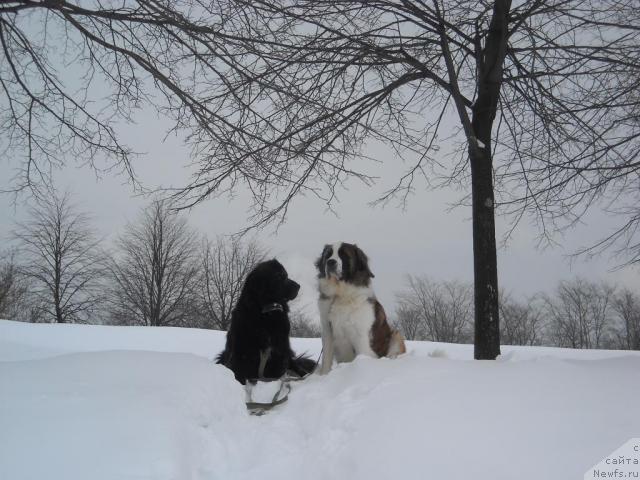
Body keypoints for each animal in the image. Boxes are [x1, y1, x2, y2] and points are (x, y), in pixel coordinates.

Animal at [316, 242, 404, 374]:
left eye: (344, 255)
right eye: (328, 255)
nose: (330, 262)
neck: (341, 295)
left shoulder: (361, 335)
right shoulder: (327, 331)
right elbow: (326, 358)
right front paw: (324, 376)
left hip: (396, 336)